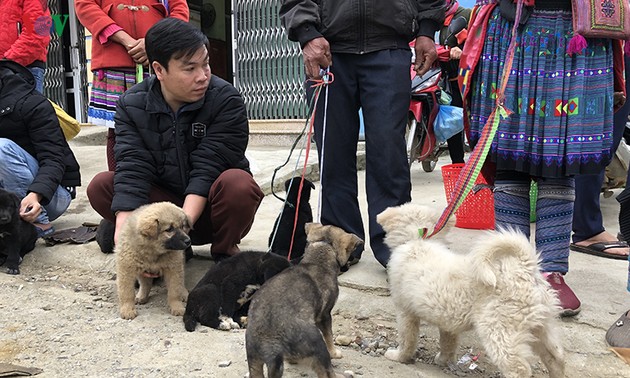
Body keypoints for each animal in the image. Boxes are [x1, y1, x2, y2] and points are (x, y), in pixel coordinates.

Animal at [378, 204, 564, 378]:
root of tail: (525, 269)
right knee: (556, 358)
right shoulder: (447, 322)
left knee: (518, 368)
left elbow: (407, 339)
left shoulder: (405, 312)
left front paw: (399, 356)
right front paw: (443, 360)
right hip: (541, 326)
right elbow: (448, 343)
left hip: (499, 330)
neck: (418, 241)